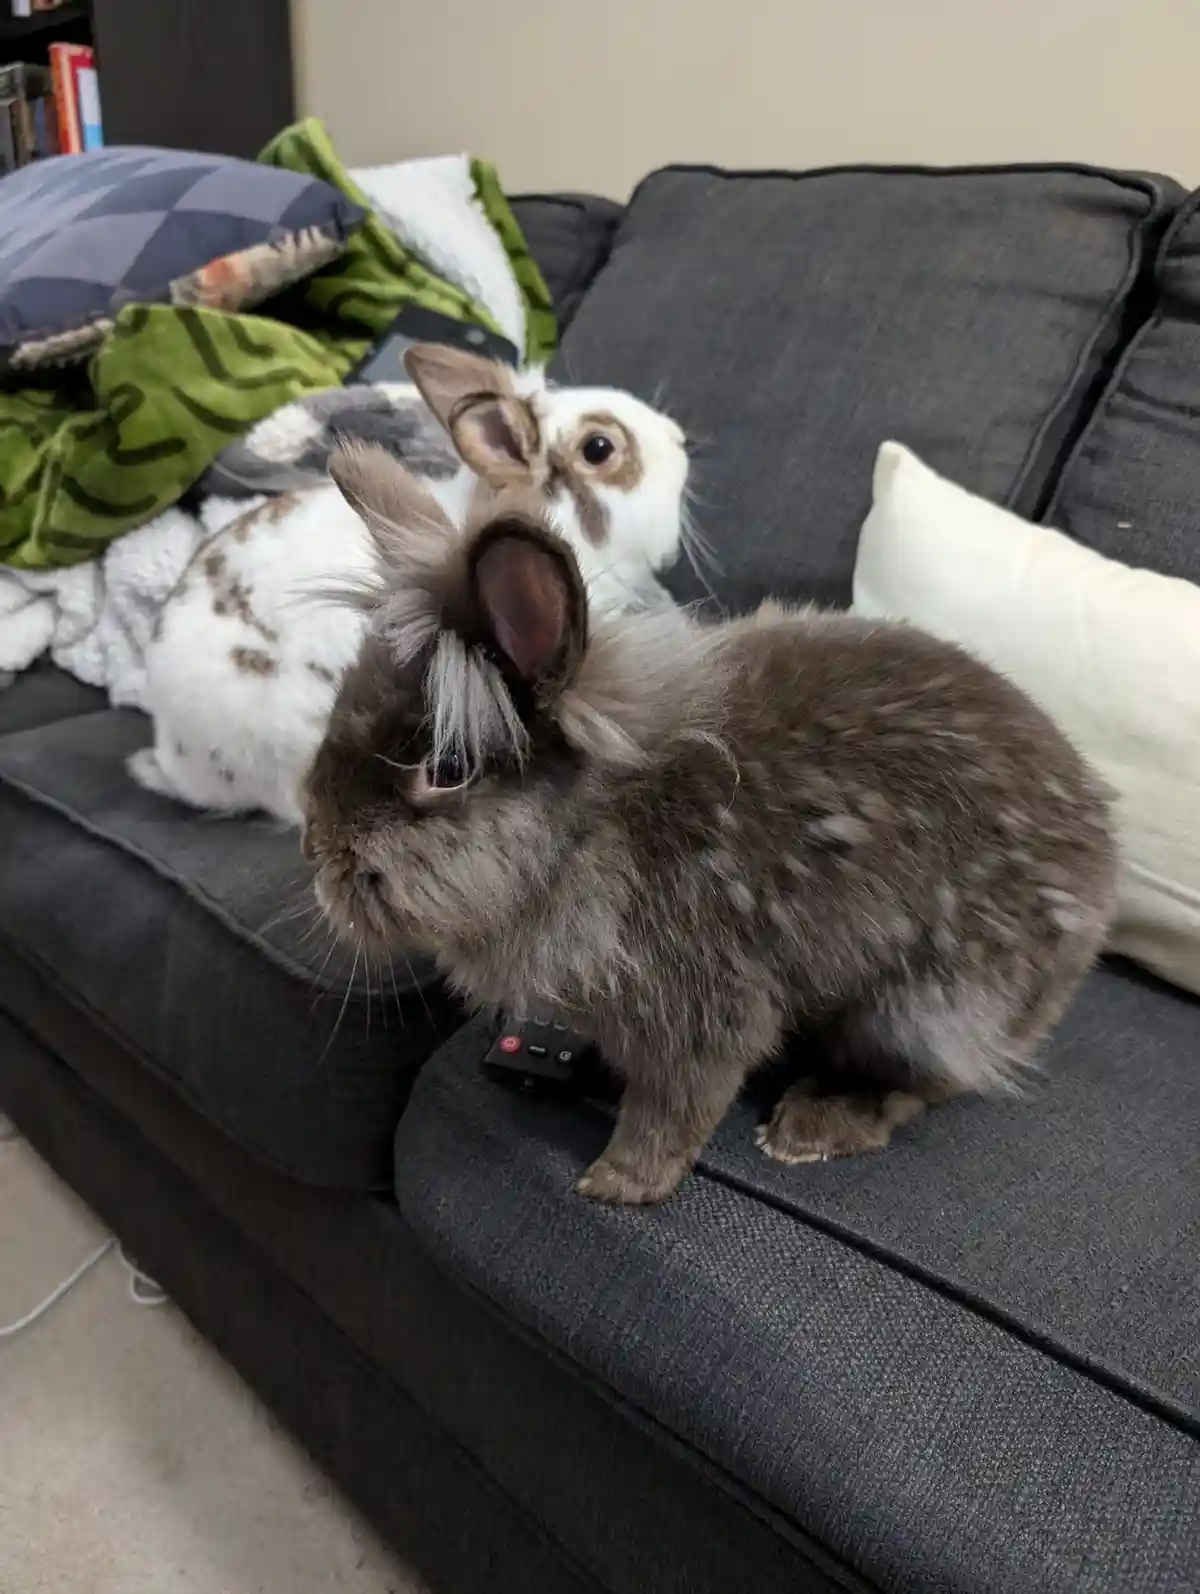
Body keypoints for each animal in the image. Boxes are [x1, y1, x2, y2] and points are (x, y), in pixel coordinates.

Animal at [302, 445, 1119, 1206]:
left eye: (443, 769)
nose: (316, 846)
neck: (594, 832)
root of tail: (1103, 852)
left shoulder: (703, 1012)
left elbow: (676, 1106)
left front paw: (618, 1183)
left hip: (921, 1007)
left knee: (921, 1083)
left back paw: (808, 1129)